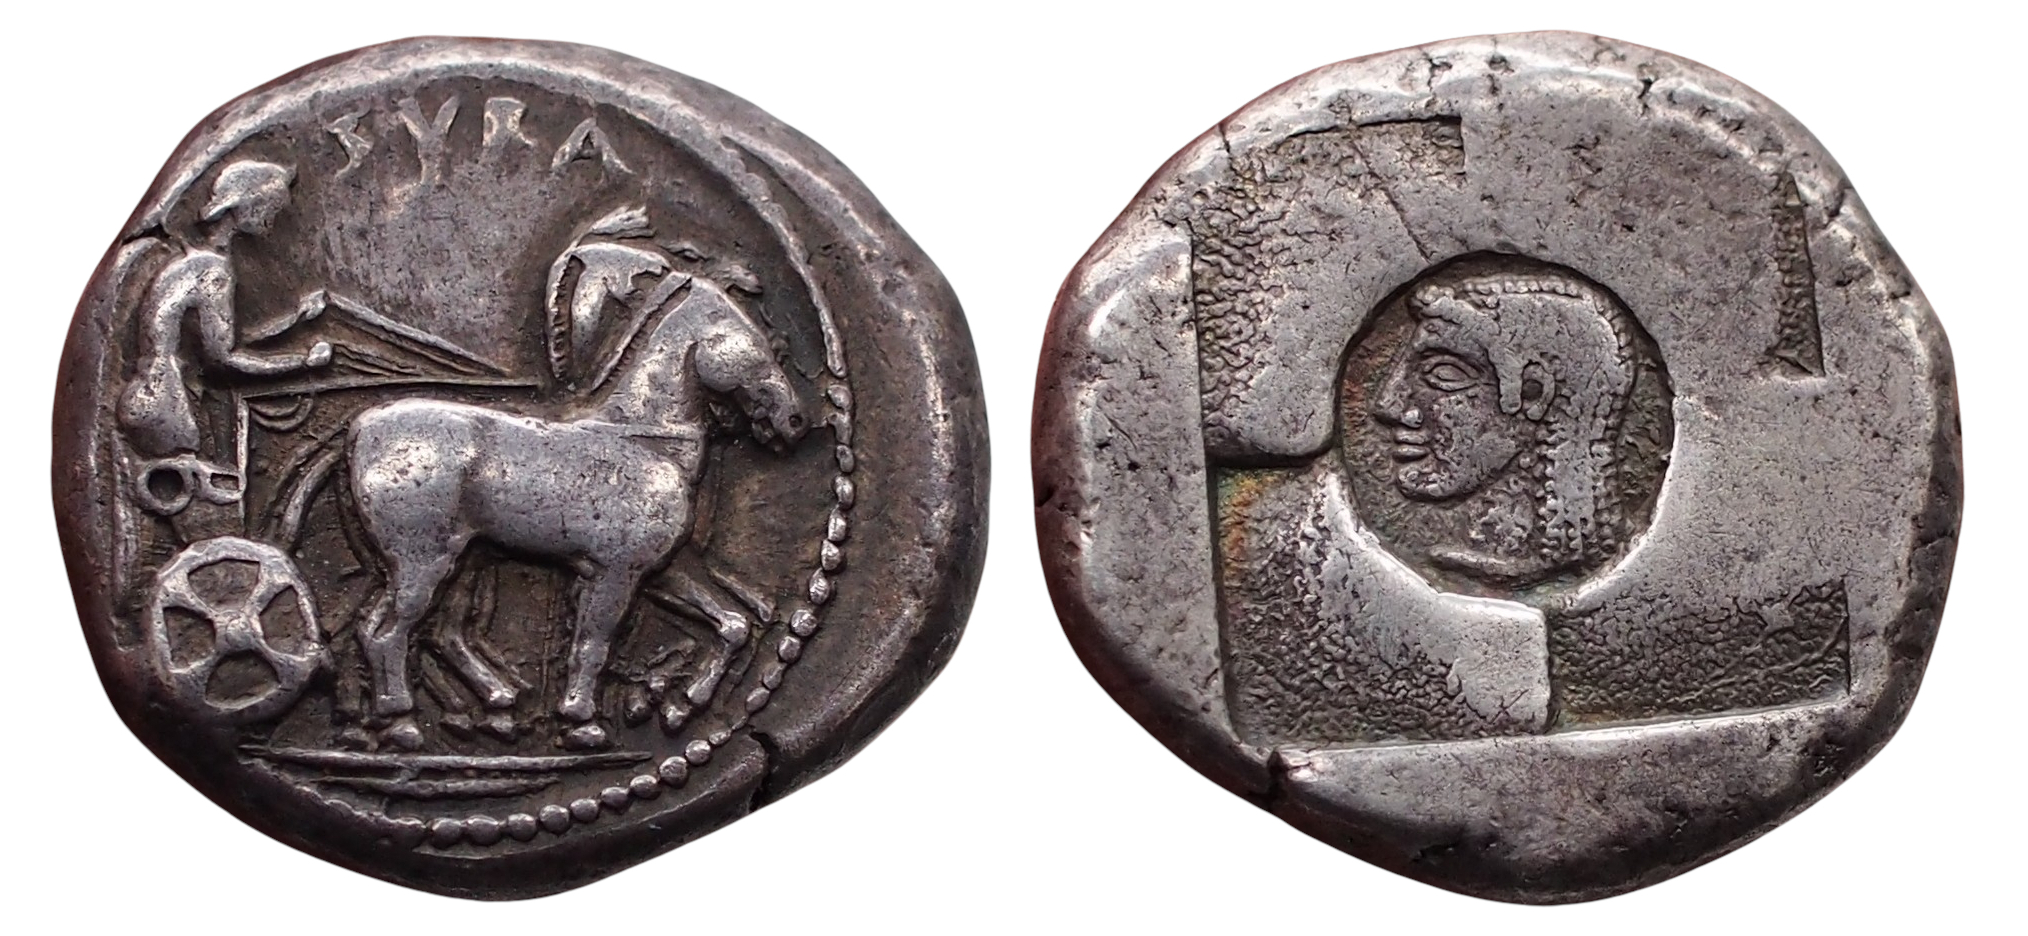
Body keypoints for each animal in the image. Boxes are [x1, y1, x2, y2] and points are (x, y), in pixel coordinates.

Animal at [344, 276, 807, 750]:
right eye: (750, 343)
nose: (794, 420)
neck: (645, 443)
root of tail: (362, 428)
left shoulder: (660, 570)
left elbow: (733, 624)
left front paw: (684, 705)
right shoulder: (614, 573)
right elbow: (591, 646)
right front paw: (583, 722)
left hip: (466, 559)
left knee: (422, 631)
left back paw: (495, 702)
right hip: (423, 560)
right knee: (389, 633)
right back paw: (403, 721)